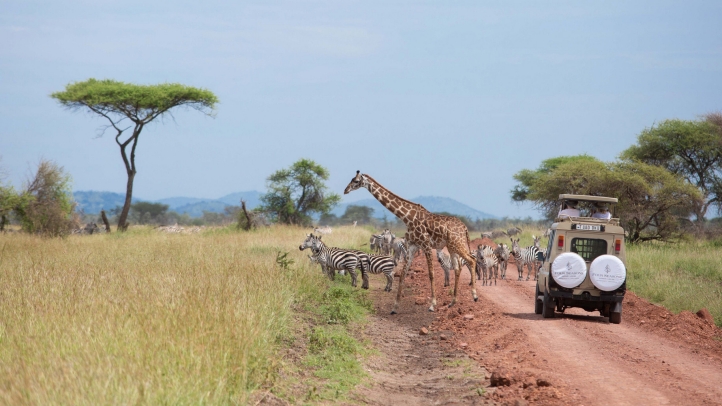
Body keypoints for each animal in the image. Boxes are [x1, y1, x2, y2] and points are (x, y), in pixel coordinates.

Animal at [344, 171, 478, 314]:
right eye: (352, 179)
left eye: (356, 181)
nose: (345, 190)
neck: (407, 217)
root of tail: (464, 227)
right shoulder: (412, 246)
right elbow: (403, 273)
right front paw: (395, 307)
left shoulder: (426, 245)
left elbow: (431, 274)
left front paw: (432, 305)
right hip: (452, 247)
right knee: (458, 268)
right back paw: (452, 302)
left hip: (458, 243)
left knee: (471, 260)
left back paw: (475, 296)